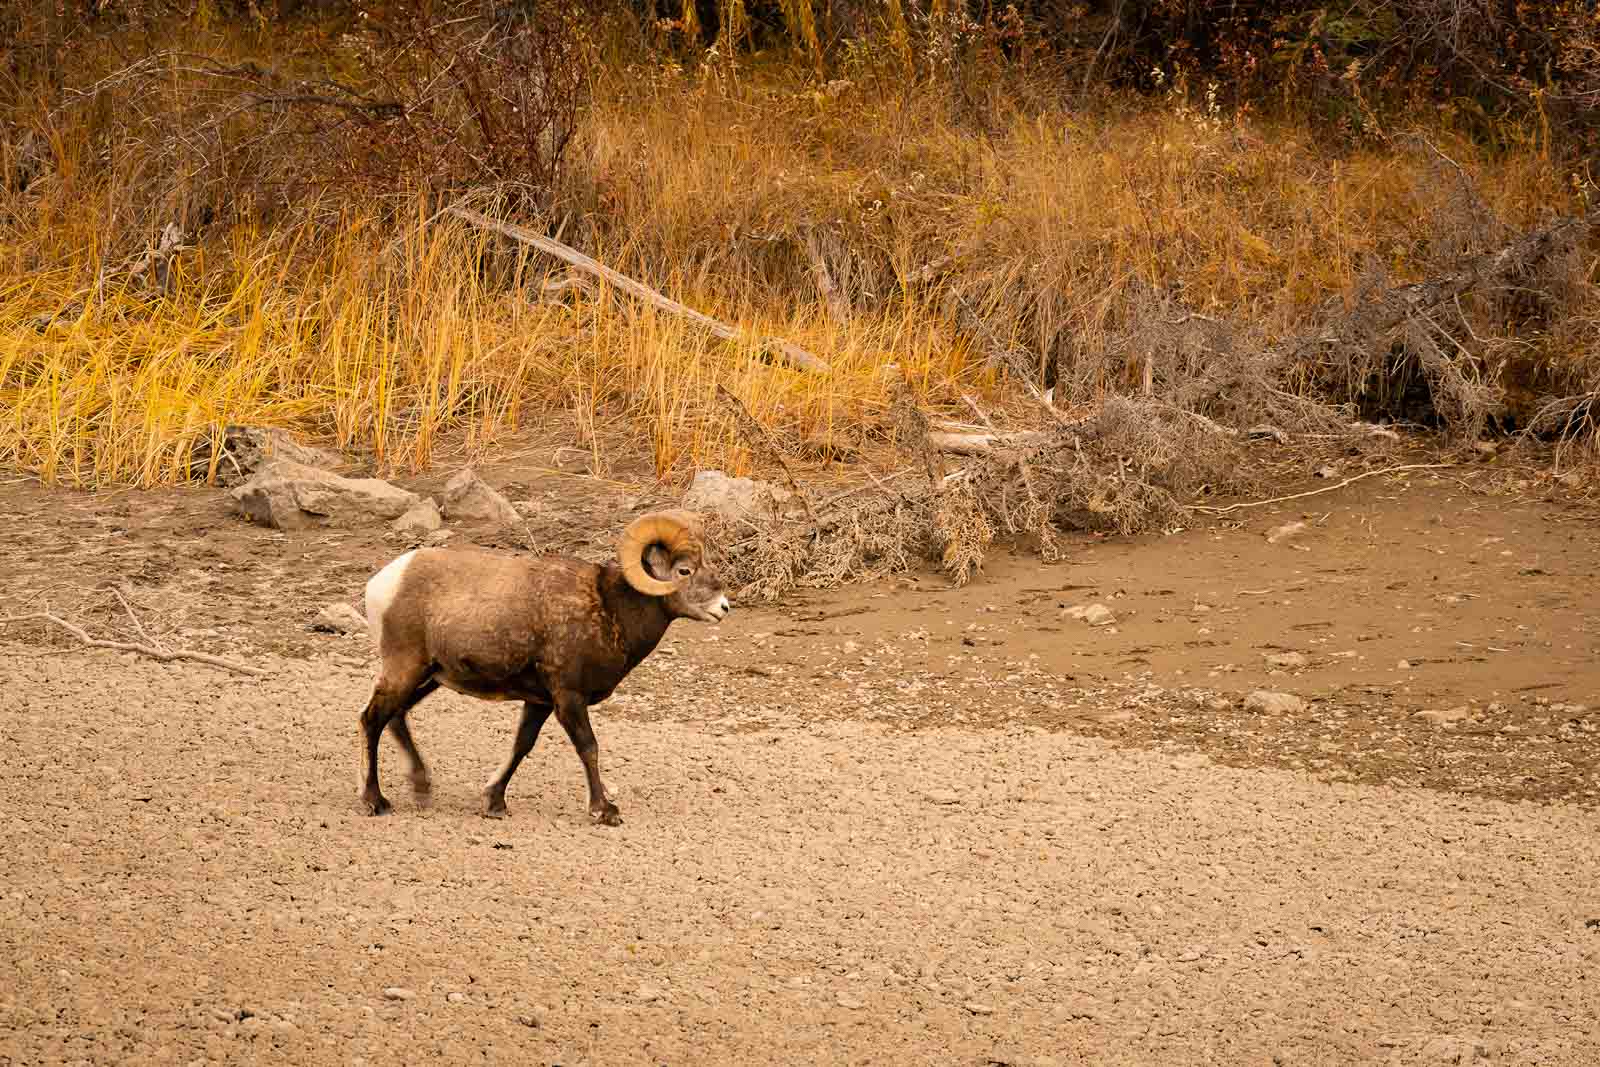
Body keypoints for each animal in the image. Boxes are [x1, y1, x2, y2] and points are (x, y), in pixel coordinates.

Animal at [360, 508, 729, 825]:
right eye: (684, 571)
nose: (723, 608)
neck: (610, 610)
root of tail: (383, 583)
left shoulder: (539, 702)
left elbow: (522, 745)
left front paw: (495, 802)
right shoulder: (569, 697)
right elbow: (588, 747)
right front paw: (604, 811)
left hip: (429, 677)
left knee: (396, 716)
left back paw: (421, 788)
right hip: (404, 670)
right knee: (372, 719)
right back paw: (375, 801)